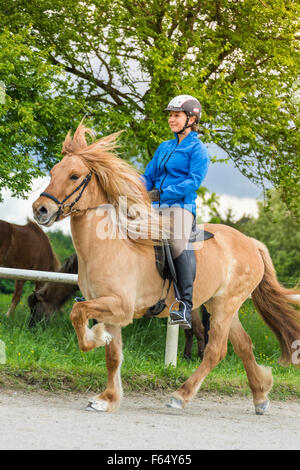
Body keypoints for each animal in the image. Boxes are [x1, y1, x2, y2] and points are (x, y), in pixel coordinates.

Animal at [29, 253, 210, 360]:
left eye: (35, 308)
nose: (31, 329)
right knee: (192, 330)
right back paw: (188, 356)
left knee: (199, 329)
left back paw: (199, 357)